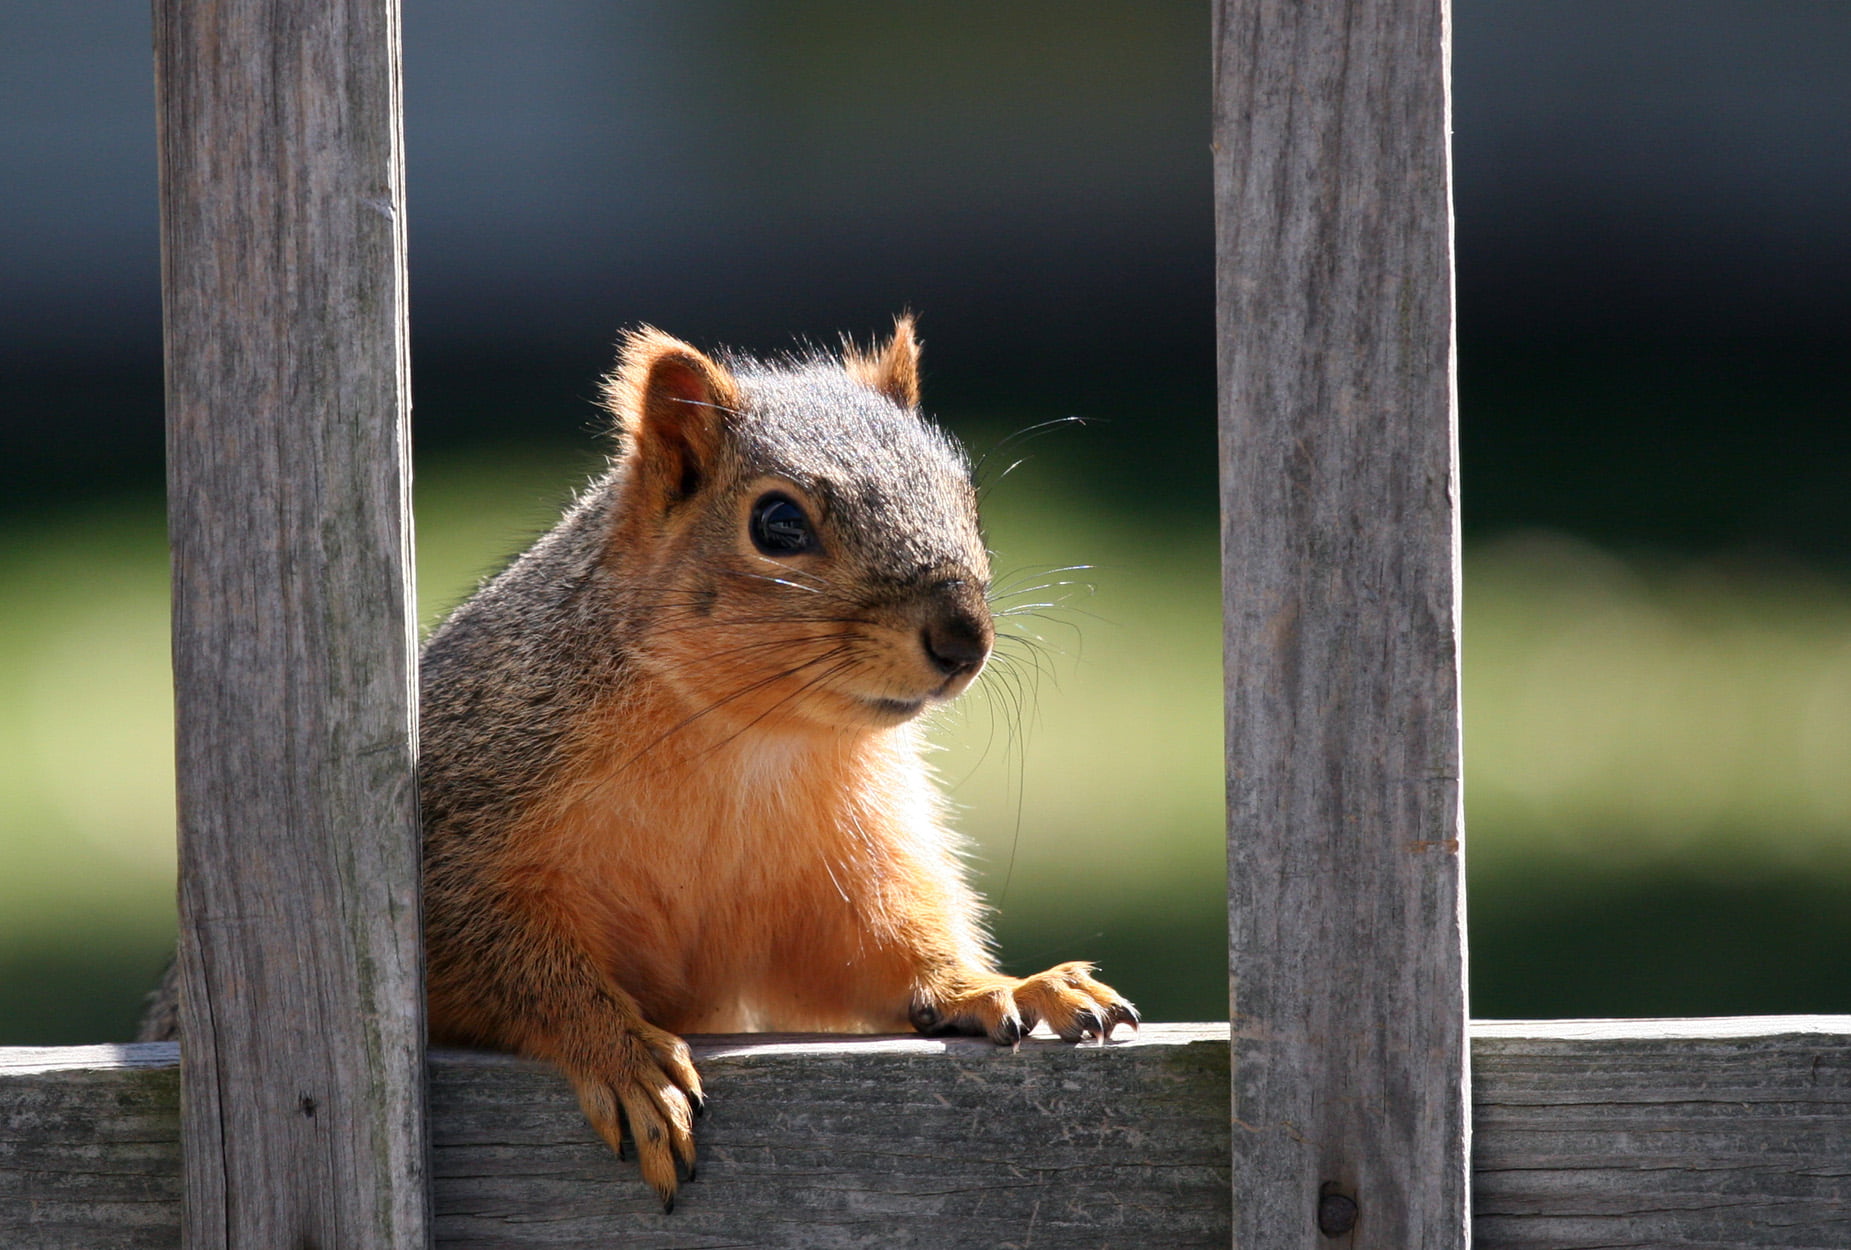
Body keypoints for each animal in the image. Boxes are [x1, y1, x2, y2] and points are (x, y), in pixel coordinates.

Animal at [142, 316, 1136, 1210]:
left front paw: (1006, 984)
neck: (744, 742)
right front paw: (623, 1054)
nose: (962, 637)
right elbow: (502, 959)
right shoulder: (458, 840)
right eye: (777, 523)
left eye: (964, 495)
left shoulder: (848, 865)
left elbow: (880, 953)